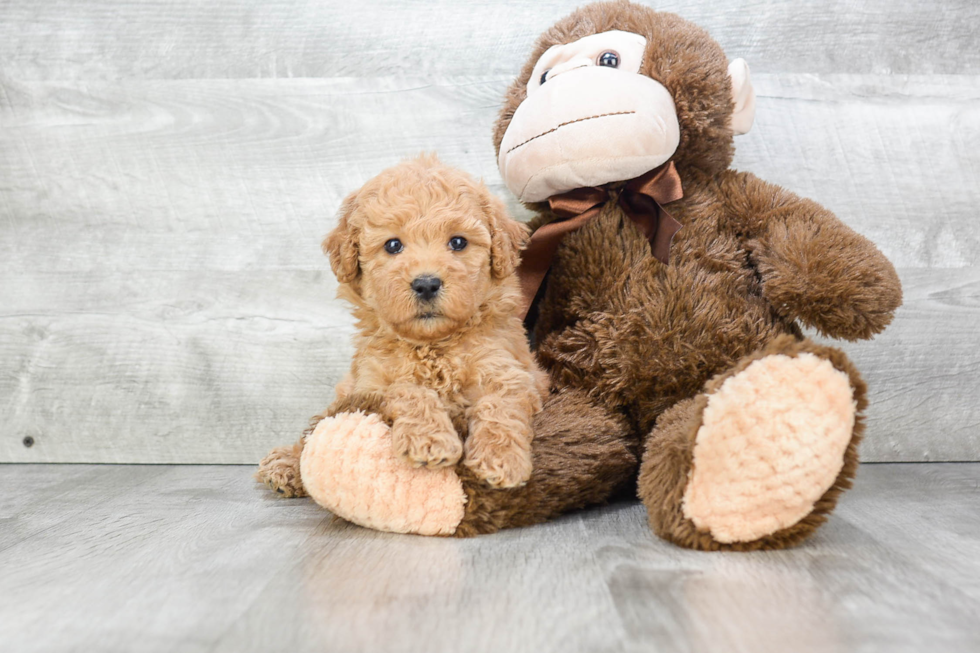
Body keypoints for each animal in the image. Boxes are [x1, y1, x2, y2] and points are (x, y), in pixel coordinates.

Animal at [284, 154, 548, 488]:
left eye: (458, 242)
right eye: (393, 245)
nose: (426, 284)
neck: (433, 345)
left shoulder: (514, 372)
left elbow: (501, 404)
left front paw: (500, 459)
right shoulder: (370, 385)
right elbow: (407, 390)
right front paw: (430, 440)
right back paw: (283, 464)